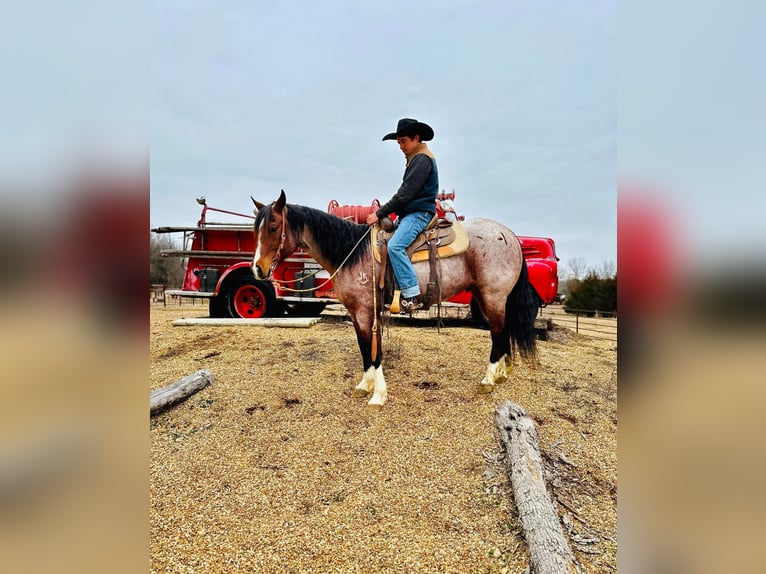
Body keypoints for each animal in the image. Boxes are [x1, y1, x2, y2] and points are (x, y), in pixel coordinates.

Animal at [252, 191, 540, 412]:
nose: (258, 269)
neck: (353, 253)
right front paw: (364, 385)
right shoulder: (356, 313)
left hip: (493, 295)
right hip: (484, 295)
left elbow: (375, 351)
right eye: (256, 229)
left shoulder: (367, 311)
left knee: (497, 331)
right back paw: (501, 373)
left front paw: (378, 395)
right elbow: (364, 348)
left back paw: (489, 379)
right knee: (501, 331)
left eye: (274, 227)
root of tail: (510, 235)